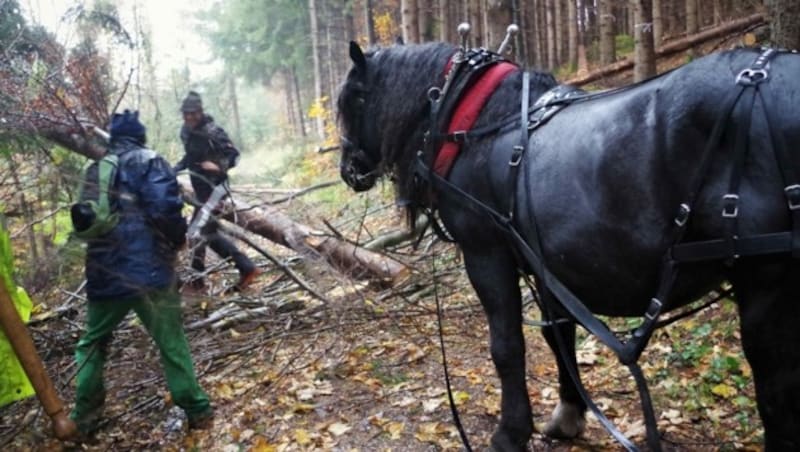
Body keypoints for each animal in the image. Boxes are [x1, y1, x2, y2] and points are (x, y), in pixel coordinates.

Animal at [336, 40, 800, 450]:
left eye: (355, 100)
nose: (347, 170)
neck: (477, 125)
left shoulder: (486, 254)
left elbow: (507, 346)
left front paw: (511, 433)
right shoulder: (548, 260)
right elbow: (558, 333)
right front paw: (568, 415)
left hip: (766, 284)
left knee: (775, 382)